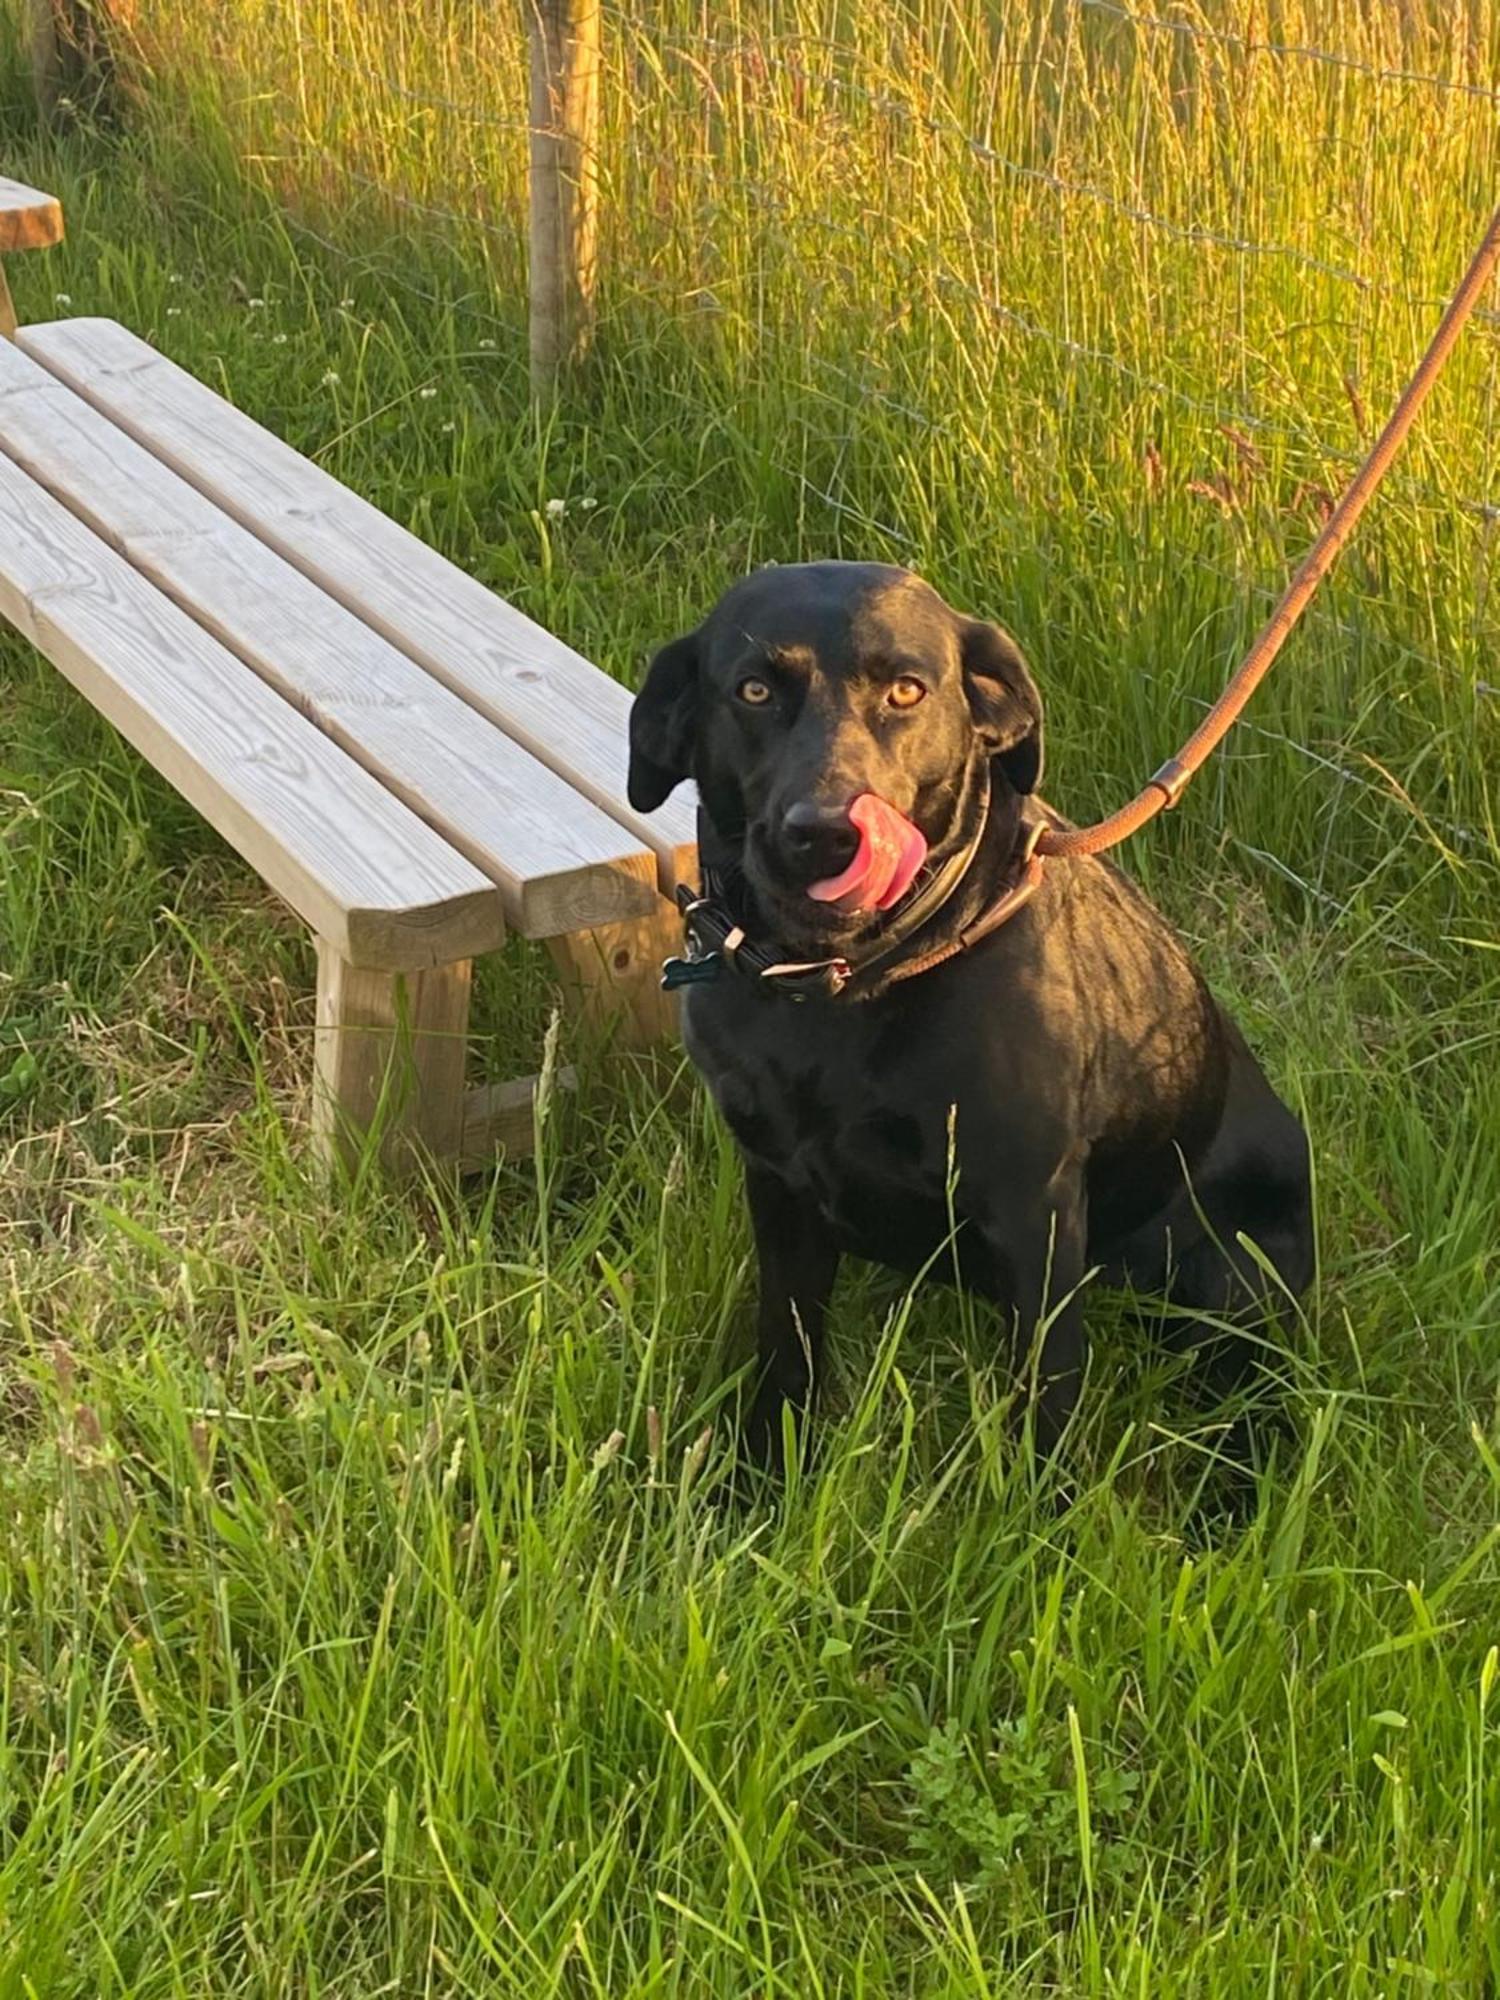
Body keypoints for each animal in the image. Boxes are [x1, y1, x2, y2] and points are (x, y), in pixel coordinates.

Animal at [628, 564, 1312, 1488]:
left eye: (907, 691)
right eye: (755, 689)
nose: (826, 834)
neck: (844, 986)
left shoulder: (1035, 1210)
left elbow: (1048, 1398)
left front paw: (1044, 1517)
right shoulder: (779, 1186)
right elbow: (785, 1350)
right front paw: (758, 1482)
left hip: (1238, 1276)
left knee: (1256, 1394)